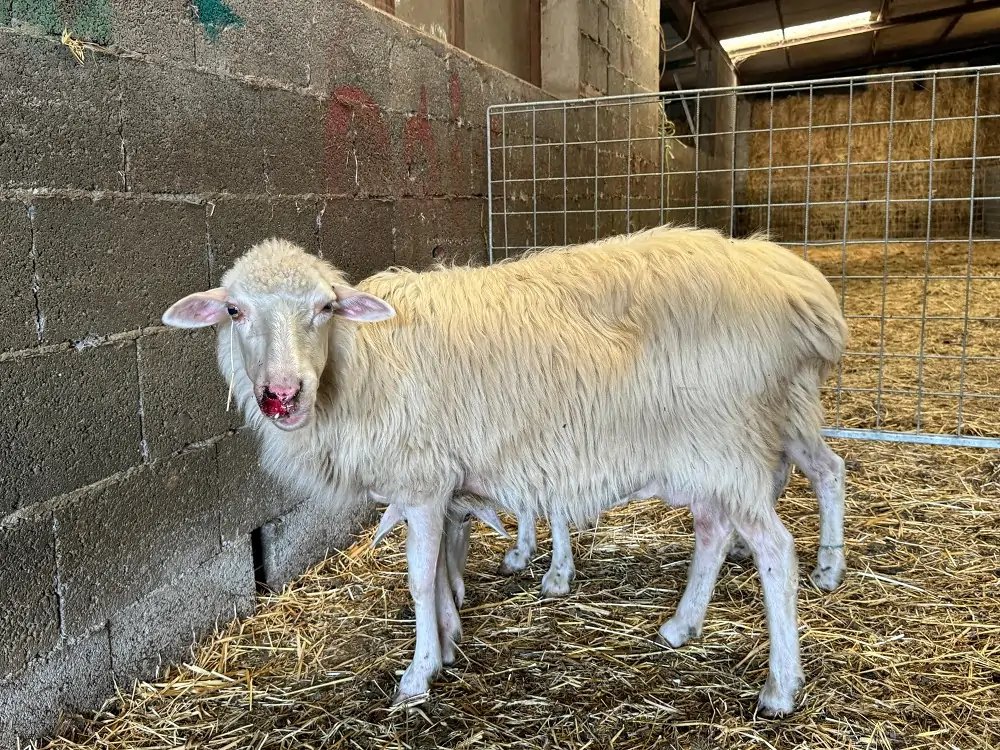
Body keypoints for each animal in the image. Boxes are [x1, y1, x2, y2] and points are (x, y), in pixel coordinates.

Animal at [162, 224, 847, 716]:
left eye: (325, 308)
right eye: (235, 312)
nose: (282, 394)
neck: (362, 364)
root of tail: (793, 285)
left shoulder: (423, 479)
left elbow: (420, 579)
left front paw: (418, 674)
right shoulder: (441, 484)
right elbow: (443, 566)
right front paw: (448, 641)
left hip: (730, 439)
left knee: (777, 545)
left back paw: (783, 682)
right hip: (712, 447)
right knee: (721, 525)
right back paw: (682, 626)